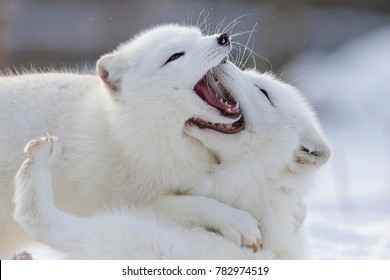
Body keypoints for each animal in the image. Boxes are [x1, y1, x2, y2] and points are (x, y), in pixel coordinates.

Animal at [0, 24, 258, 258]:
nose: (223, 38)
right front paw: (237, 221)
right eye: (175, 56)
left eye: (198, 35)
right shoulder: (122, 202)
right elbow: (191, 203)